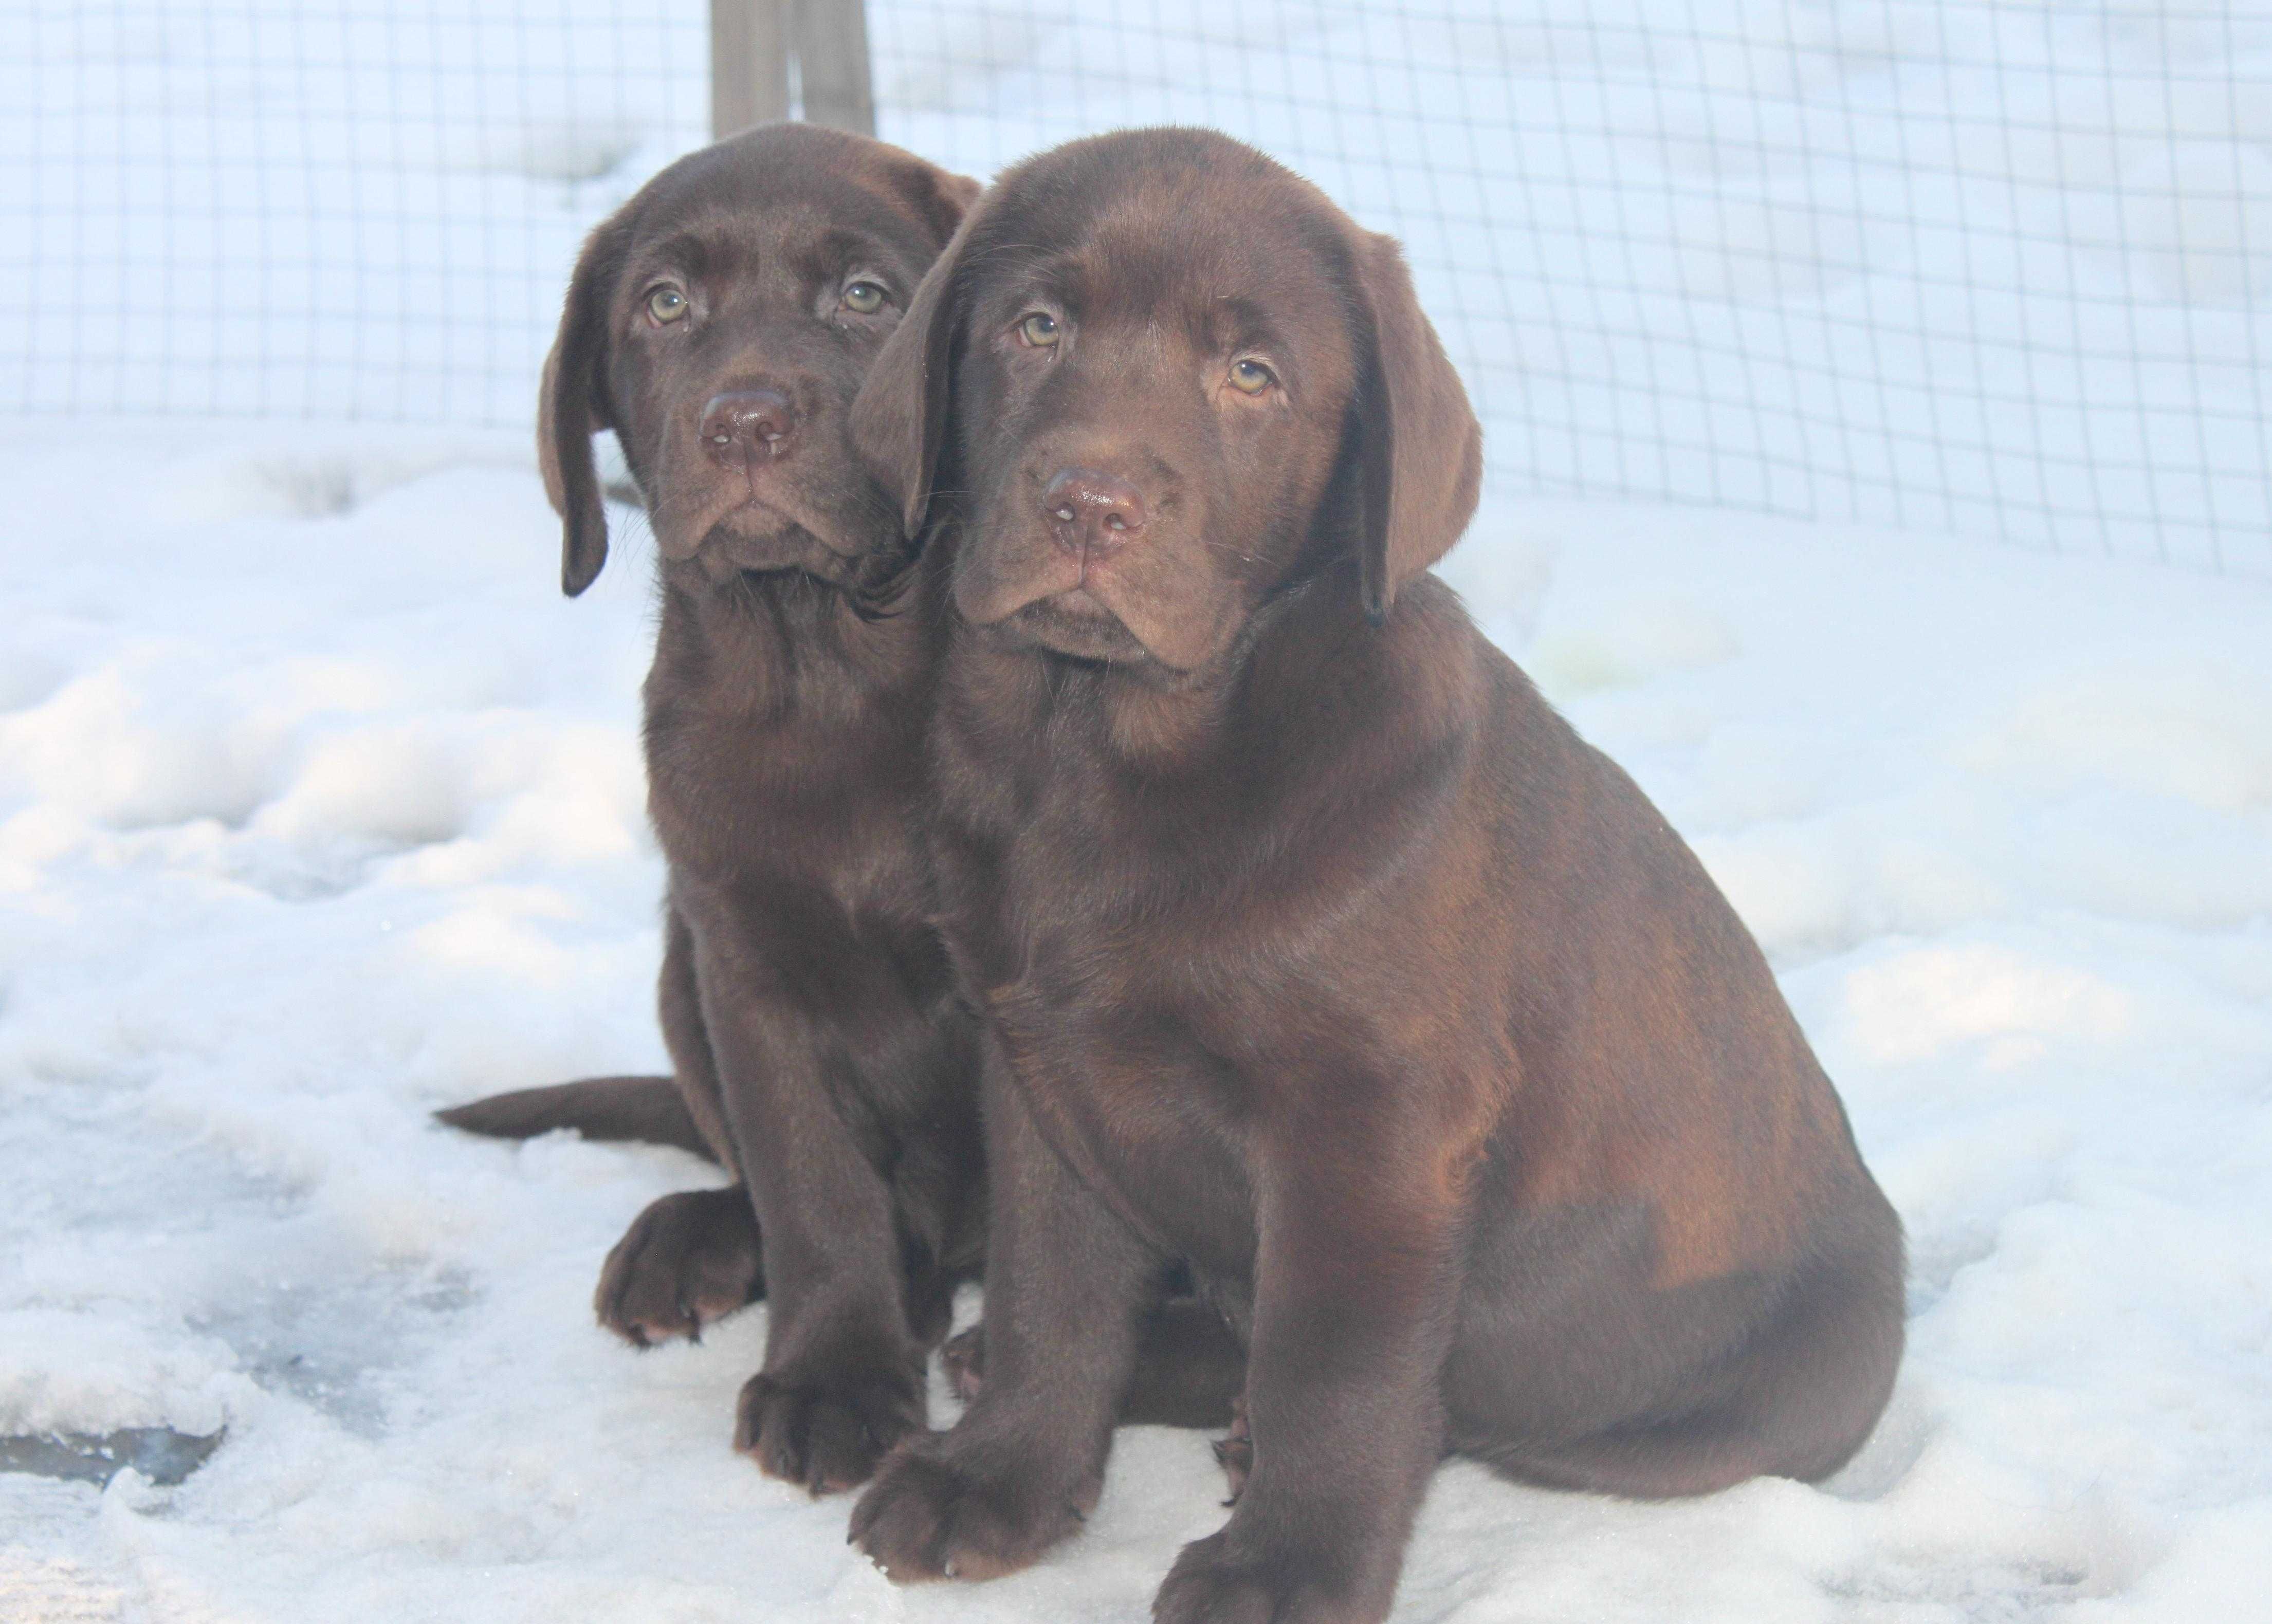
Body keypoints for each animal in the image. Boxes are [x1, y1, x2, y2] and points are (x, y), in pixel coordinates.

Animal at [434, 123, 986, 1499]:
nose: (743, 421)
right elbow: (808, 1181)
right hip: (676, 962)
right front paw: (835, 1372)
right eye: (666, 305)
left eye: (866, 296)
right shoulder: (745, 960)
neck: (821, 667)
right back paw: (693, 1243)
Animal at [836, 130, 1899, 1624]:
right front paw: (997, 1479)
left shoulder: (1372, 1129)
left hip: (1756, 1397)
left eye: (1252, 375)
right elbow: (1053, 1291)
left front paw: (1284, 1574)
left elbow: (1332, 1366)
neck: (1104, 754)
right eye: (1035, 327)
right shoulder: (1038, 1066)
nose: (1090, 504)